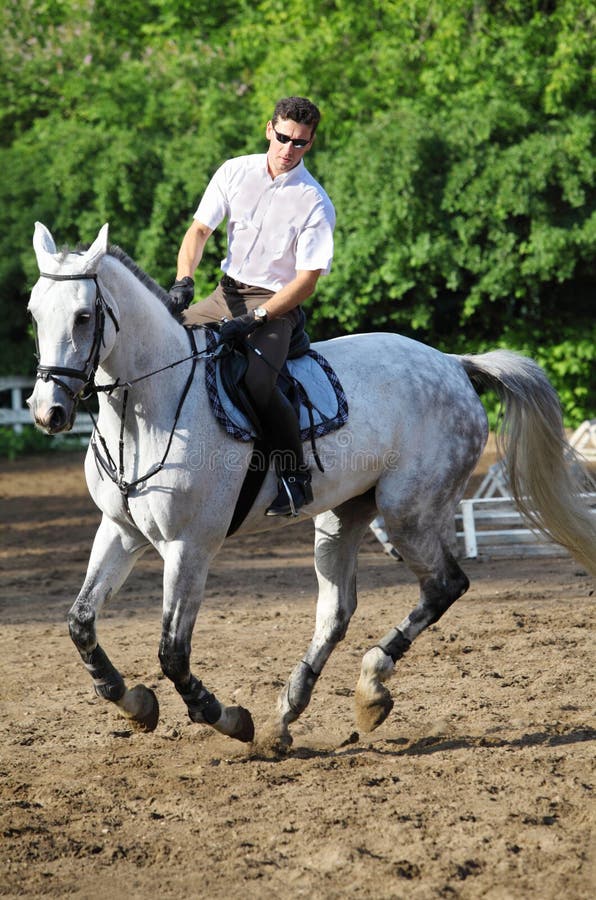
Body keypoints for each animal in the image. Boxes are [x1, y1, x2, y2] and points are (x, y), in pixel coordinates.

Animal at [27, 222, 596, 749]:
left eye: (83, 316)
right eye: (34, 313)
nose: (48, 412)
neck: (150, 406)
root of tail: (455, 364)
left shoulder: (189, 546)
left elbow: (172, 652)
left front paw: (226, 718)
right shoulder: (120, 531)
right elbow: (80, 621)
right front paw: (133, 702)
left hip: (408, 513)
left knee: (443, 585)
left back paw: (370, 687)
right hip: (343, 515)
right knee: (337, 611)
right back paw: (288, 714)